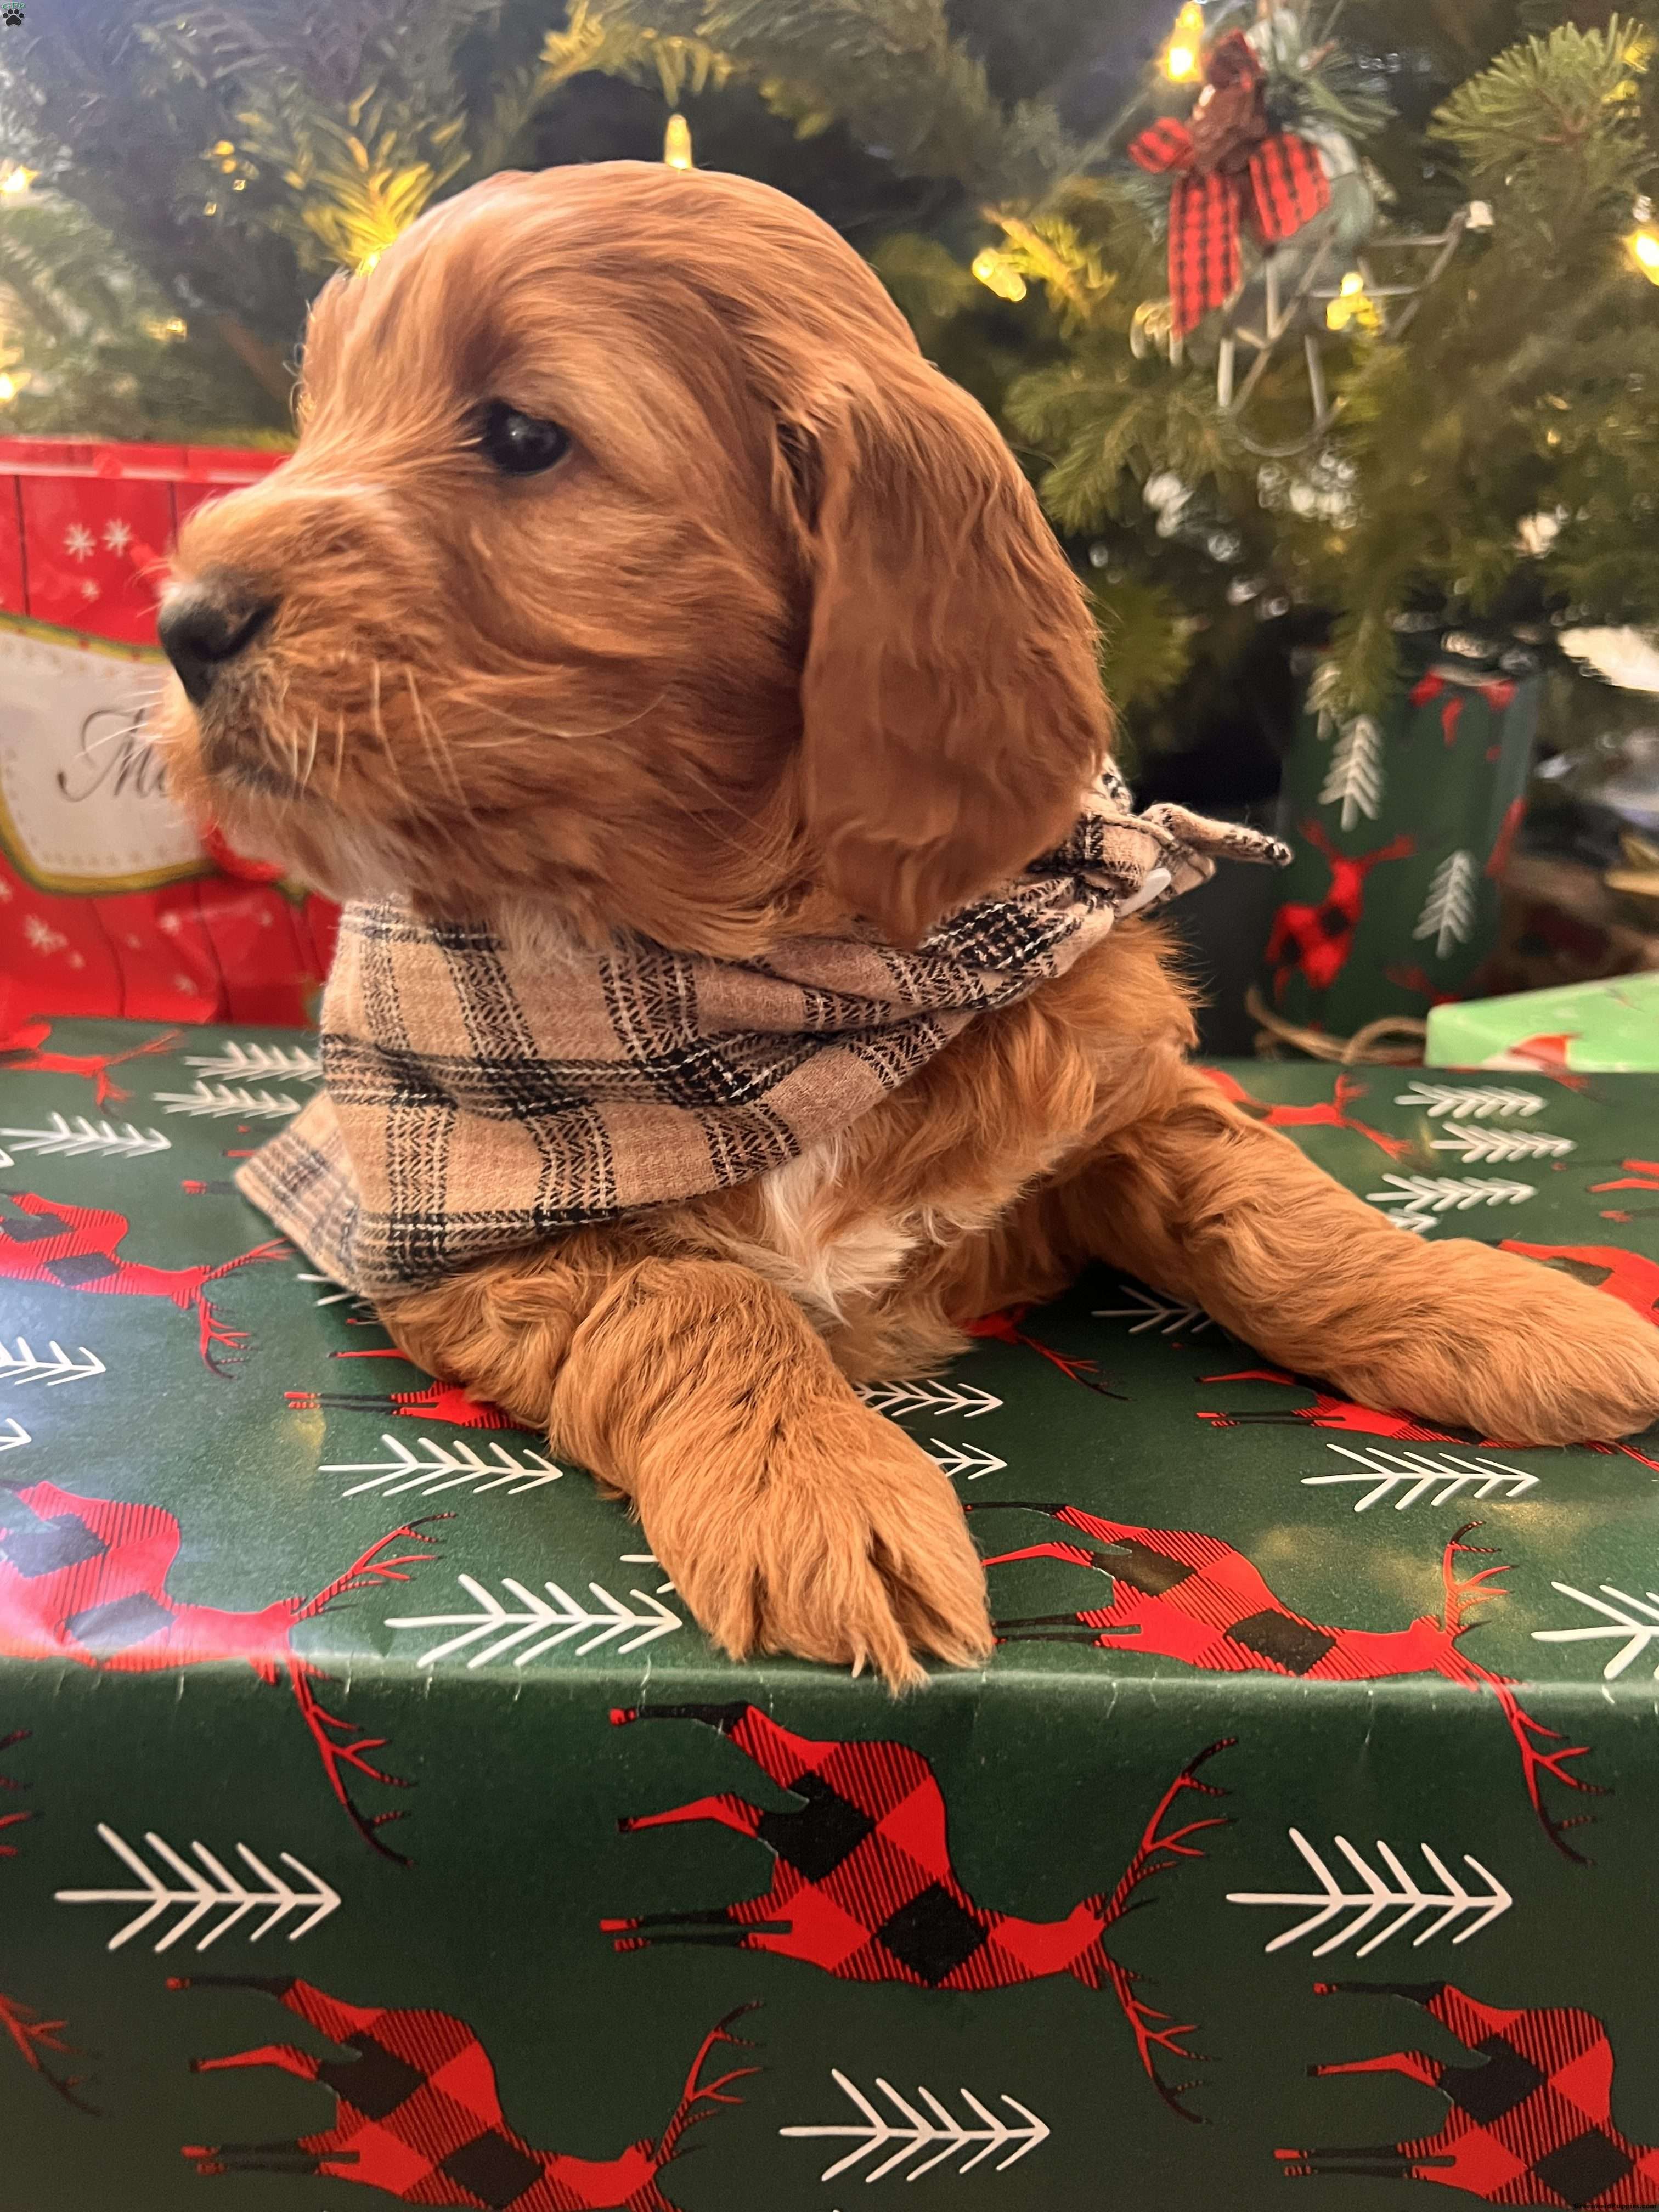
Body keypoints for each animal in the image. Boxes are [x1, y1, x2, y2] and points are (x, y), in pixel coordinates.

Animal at [175, 1974, 758, 2211]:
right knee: (283, 1993)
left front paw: (207, 2160)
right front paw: (205, 2158)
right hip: (357, 2050)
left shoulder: (362, 2160)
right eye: (648, 2184)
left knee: (284, 2044)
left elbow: (283, 2158)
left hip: (349, 2076)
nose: (677, 2209)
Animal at [602, 1701, 1230, 2117]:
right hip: (799, 1798)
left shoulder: (796, 1929)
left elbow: (710, 1926)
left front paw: (625, 1933)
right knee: (735, 1722)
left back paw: (626, 1813)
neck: (983, 1946)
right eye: (1095, 1964)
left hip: (787, 1821)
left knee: (723, 1793)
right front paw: (623, 1932)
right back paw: (623, 1725)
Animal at [975, 1507, 1599, 1861]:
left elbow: (1051, 1627)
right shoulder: (1142, 1629)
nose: (1470, 1683)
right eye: (1427, 1642)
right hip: (1128, 1554)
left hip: (1118, 1568)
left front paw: (990, 1635)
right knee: (1058, 1515)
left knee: (1059, 1537)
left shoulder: (1132, 1633)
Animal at [1279, 1980, 1659, 2204]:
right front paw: (1296, 2164)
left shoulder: (1451, 2161)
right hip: (1477, 2043)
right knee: (1429, 1994)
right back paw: (1324, 1994)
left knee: (1408, 2054)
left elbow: (1385, 2161)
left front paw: (1296, 2163)